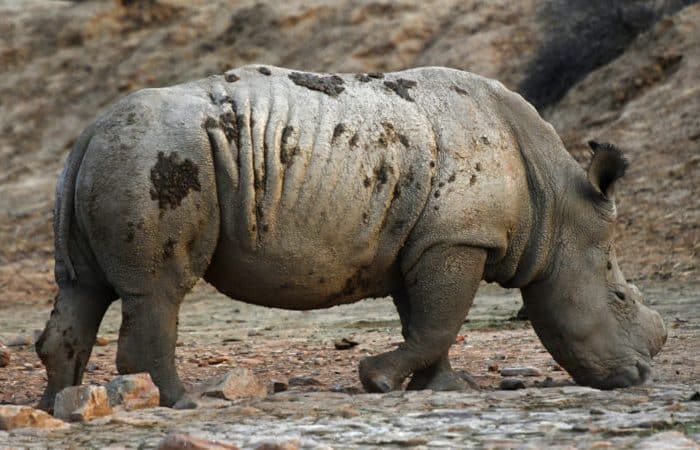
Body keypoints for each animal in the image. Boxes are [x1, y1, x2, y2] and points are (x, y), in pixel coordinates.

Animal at [37, 65, 668, 410]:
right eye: (618, 298)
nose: (641, 378)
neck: (556, 207)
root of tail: (88, 131)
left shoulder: (427, 241)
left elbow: (427, 320)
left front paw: (444, 389)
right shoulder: (459, 238)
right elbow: (439, 320)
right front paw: (379, 380)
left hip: (115, 157)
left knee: (82, 288)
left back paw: (62, 407)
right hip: (160, 156)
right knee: (160, 290)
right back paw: (181, 402)